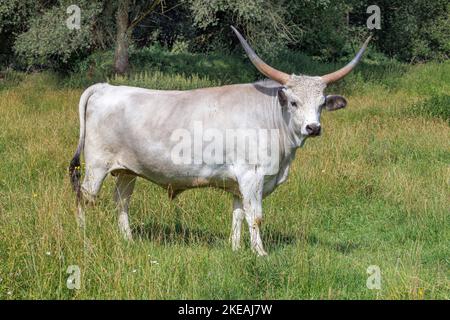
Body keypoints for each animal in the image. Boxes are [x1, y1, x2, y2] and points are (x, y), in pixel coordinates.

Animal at [70, 26, 370, 255]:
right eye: (294, 102)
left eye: (321, 103)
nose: (313, 127)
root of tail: (105, 87)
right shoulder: (252, 175)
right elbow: (255, 215)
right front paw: (260, 253)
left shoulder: (238, 182)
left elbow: (238, 213)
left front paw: (235, 249)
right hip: (96, 166)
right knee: (84, 197)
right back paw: (84, 238)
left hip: (127, 170)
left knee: (121, 201)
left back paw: (129, 240)